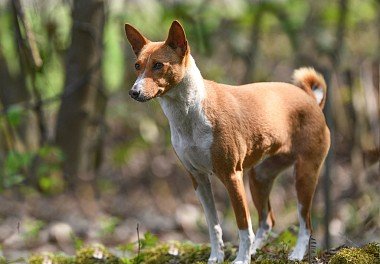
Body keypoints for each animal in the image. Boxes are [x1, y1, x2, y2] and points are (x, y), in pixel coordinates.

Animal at [124, 19, 330, 262]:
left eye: (158, 65)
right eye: (137, 66)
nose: (134, 92)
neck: (190, 114)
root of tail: (310, 99)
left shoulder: (232, 176)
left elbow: (243, 226)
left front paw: (241, 259)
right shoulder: (198, 178)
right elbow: (213, 224)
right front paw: (217, 256)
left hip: (304, 175)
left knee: (305, 223)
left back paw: (296, 254)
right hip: (260, 177)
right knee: (267, 220)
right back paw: (255, 250)